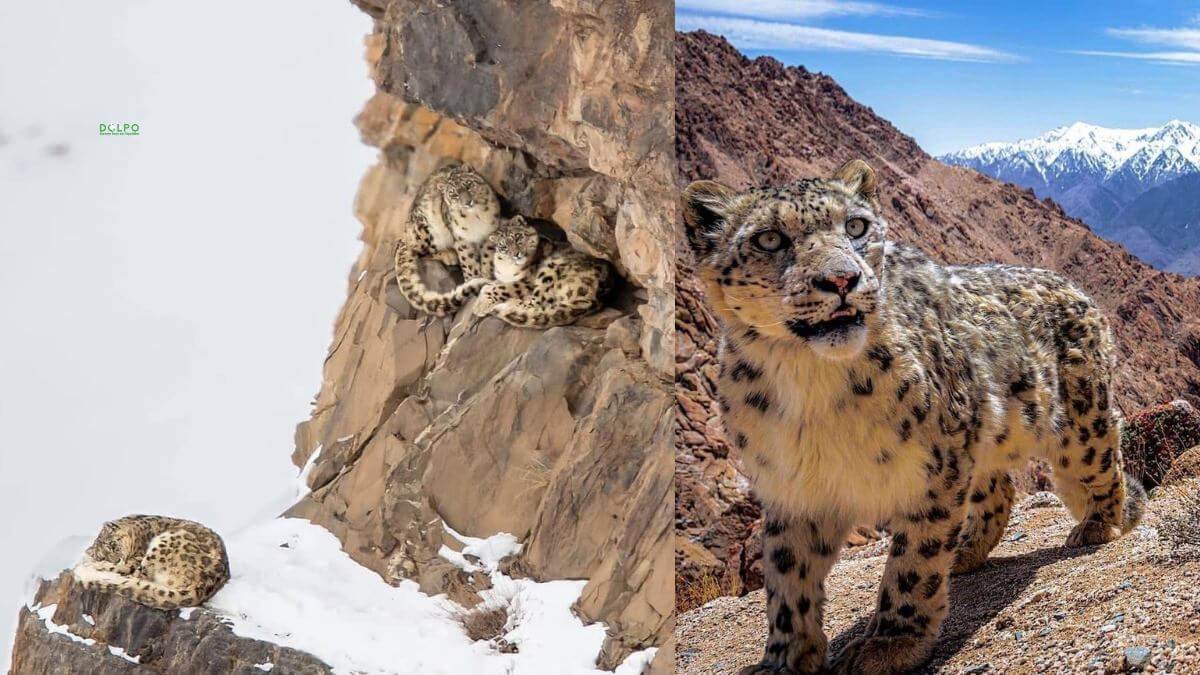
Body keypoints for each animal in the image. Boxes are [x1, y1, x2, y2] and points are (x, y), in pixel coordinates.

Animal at [72, 514, 231, 610]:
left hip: (164, 544)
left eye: (113, 544)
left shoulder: (135, 558)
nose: (116, 560)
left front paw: (91, 563)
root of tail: (205, 584)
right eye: (102, 556)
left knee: (137, 575)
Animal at [394, 163, 501, 316]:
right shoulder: (462, 239)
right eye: (454, 194)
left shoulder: (490, 232)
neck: (476, 217)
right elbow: (468, 261)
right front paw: (474, 279)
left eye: (468, 184)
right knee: (422, 253)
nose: (468, 202)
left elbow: (487, 255)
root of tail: (404, 234)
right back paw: (449, 255)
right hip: (424, 231)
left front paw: (486, 273)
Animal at [470, 215, 610, 328]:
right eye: (504, 246)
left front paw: (480, 306)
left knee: (536, 304)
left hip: (549, 269)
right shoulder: (502, 278)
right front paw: (482, 295)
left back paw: (511, 303)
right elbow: (490, 285)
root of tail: (596, 297)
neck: (507, 267)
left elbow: (502, 288)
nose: (516, 254)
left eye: (517, 237)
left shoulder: (527, 281)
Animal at [682, 159, 1147, 674]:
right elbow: (788, 577)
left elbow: (914, 558)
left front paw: (889, 644)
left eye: (856, 226)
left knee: (1102, 461)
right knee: (998, 489)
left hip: (1078, 422)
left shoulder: (935, 465)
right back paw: (965, 551)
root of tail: (1076, 288)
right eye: (769, 239)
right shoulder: (792, 486)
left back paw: (1096, 525)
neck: (809, 381)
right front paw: (783, 658)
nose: (842, 280)